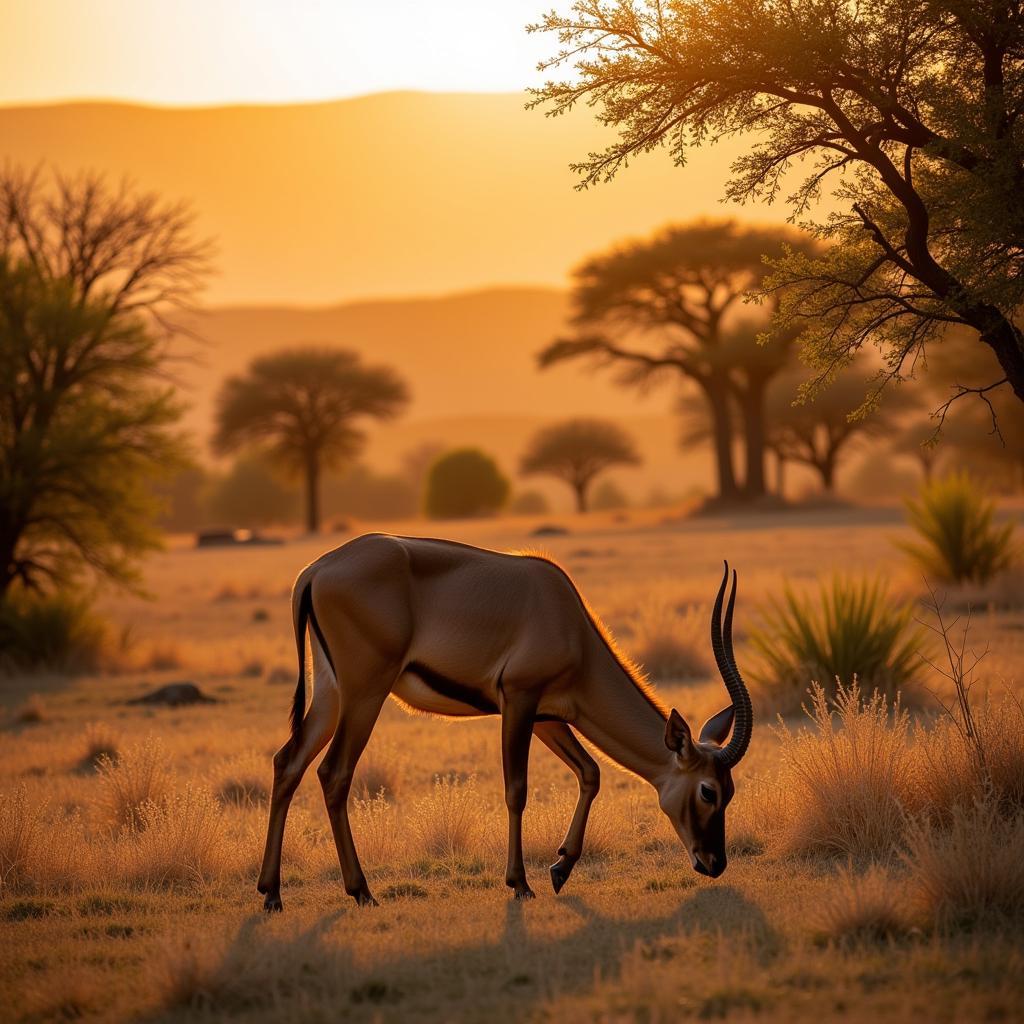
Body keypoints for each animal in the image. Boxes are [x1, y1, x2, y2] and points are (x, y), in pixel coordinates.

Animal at [256, 532, 753, 909]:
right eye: (708, 791)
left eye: (729, 791)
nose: (714, 863)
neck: (569, 621)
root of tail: (317, 571)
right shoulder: (519, 700)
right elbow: (517, 789)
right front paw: (521, 883)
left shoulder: (548, 717)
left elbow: (590, 773)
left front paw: (560, 868)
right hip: (365, 694)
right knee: (333, 773)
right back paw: (361, 892)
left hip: (332, 694)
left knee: (289, 763)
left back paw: (271, 892)